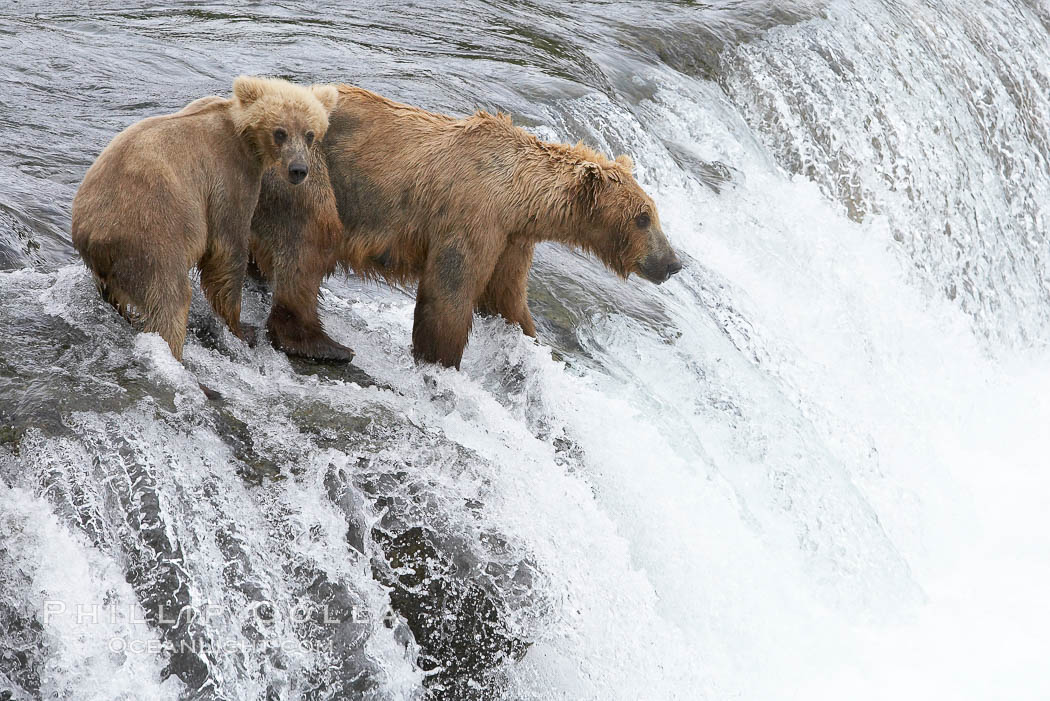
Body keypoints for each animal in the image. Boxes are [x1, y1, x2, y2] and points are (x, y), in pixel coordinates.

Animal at [69, 77, 338, 360]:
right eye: (280, 132)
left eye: (309, 134)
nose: (298, 170)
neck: (246, 137)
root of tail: (93, 236)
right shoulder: (230, 174)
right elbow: (228, 248)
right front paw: (242, 328)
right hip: (148, 239)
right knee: (170, 301)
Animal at [250, 85, 684, 369]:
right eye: (643, 217)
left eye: (653, 213)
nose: (673, 262)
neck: (518, 196)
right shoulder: (472, 216)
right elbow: (450, 291)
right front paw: (442, 359)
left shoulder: (512, 238)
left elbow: (507, 296)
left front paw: (531, 338)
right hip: (307, 170)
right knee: (311, 241)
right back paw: (322, 344)